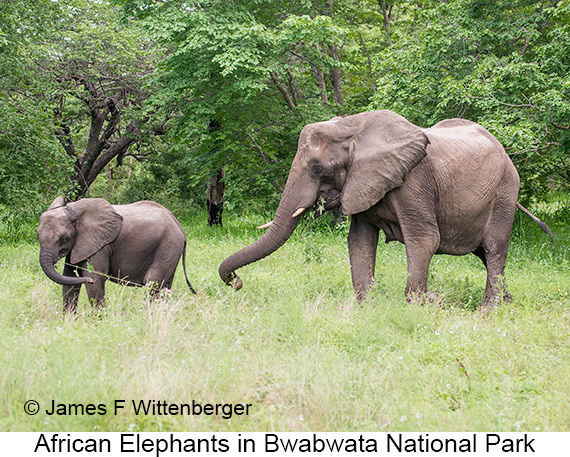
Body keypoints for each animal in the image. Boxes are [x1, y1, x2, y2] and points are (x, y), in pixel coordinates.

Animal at [38, 195, 195, 310]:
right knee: (165, 286)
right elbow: (70, 280)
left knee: (152, 281)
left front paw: (98, 323)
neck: (73, 210)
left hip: (168, 245)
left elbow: (96, 280)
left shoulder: (100, 245)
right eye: (38, 237)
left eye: (63, 238)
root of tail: (180, 227)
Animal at [217, 110, 552, 310]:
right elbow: (360, 241)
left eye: (317, 168)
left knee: (494, 248)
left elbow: (424, 240)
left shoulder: (414, 181)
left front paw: (424, 303)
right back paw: (507, 301)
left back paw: (489, 310)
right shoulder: (362, 183)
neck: (351, 128)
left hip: (505, 191)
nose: (236, 282)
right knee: (484, 253)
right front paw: (365, 306)